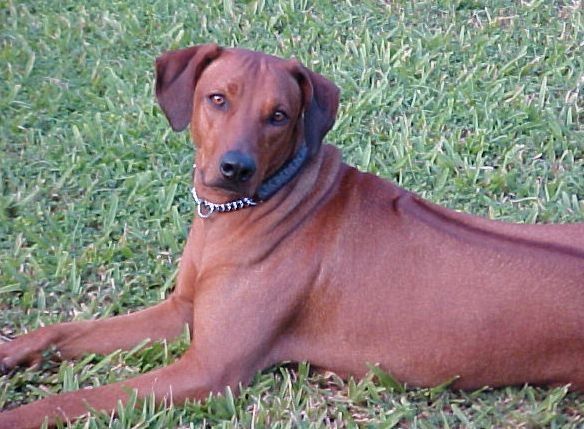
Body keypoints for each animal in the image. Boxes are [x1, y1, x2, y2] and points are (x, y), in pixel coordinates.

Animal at [1, 44, 584, 428]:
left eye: (279, 116)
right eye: (217, 99)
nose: (234, 168)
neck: (243, 211)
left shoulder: (208, 371)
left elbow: (71, 401)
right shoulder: (181, 311)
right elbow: (62, 331)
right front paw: (12, 351)